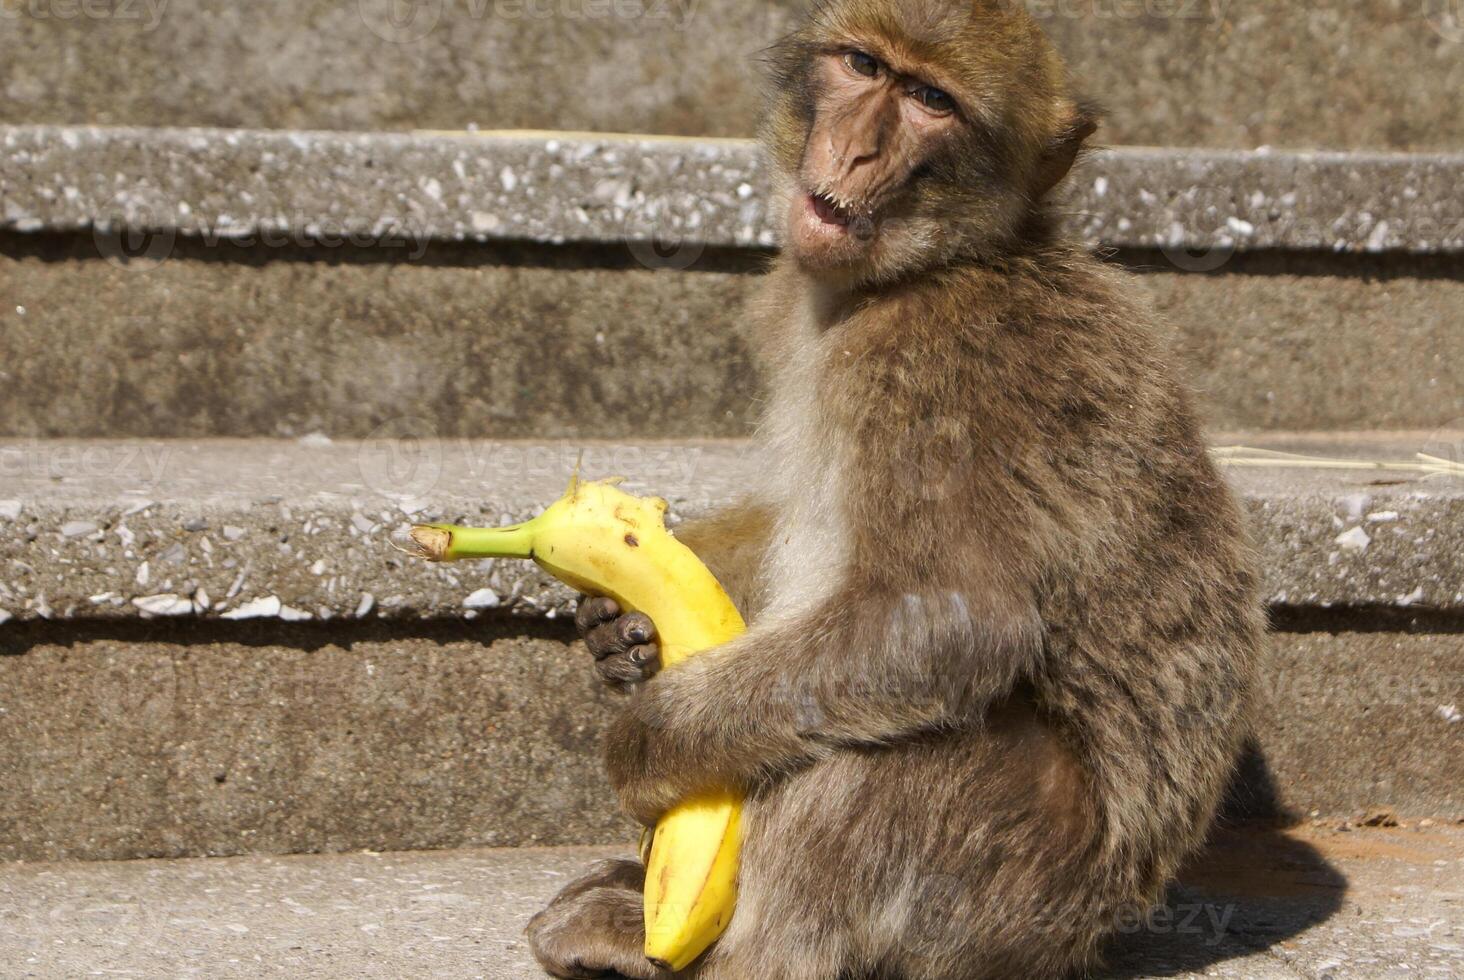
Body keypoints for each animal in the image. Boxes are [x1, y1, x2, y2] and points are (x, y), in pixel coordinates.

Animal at [527, 1, 1259, 978]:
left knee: (888, 738)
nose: (860, 149)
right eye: (864, 66)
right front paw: (620, 629)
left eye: (931, 102)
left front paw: (646, 741)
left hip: (1011, 892)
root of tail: (1097, 928)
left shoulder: (932, 366)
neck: (931, 267)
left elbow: (951, 621)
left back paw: (719, 954)